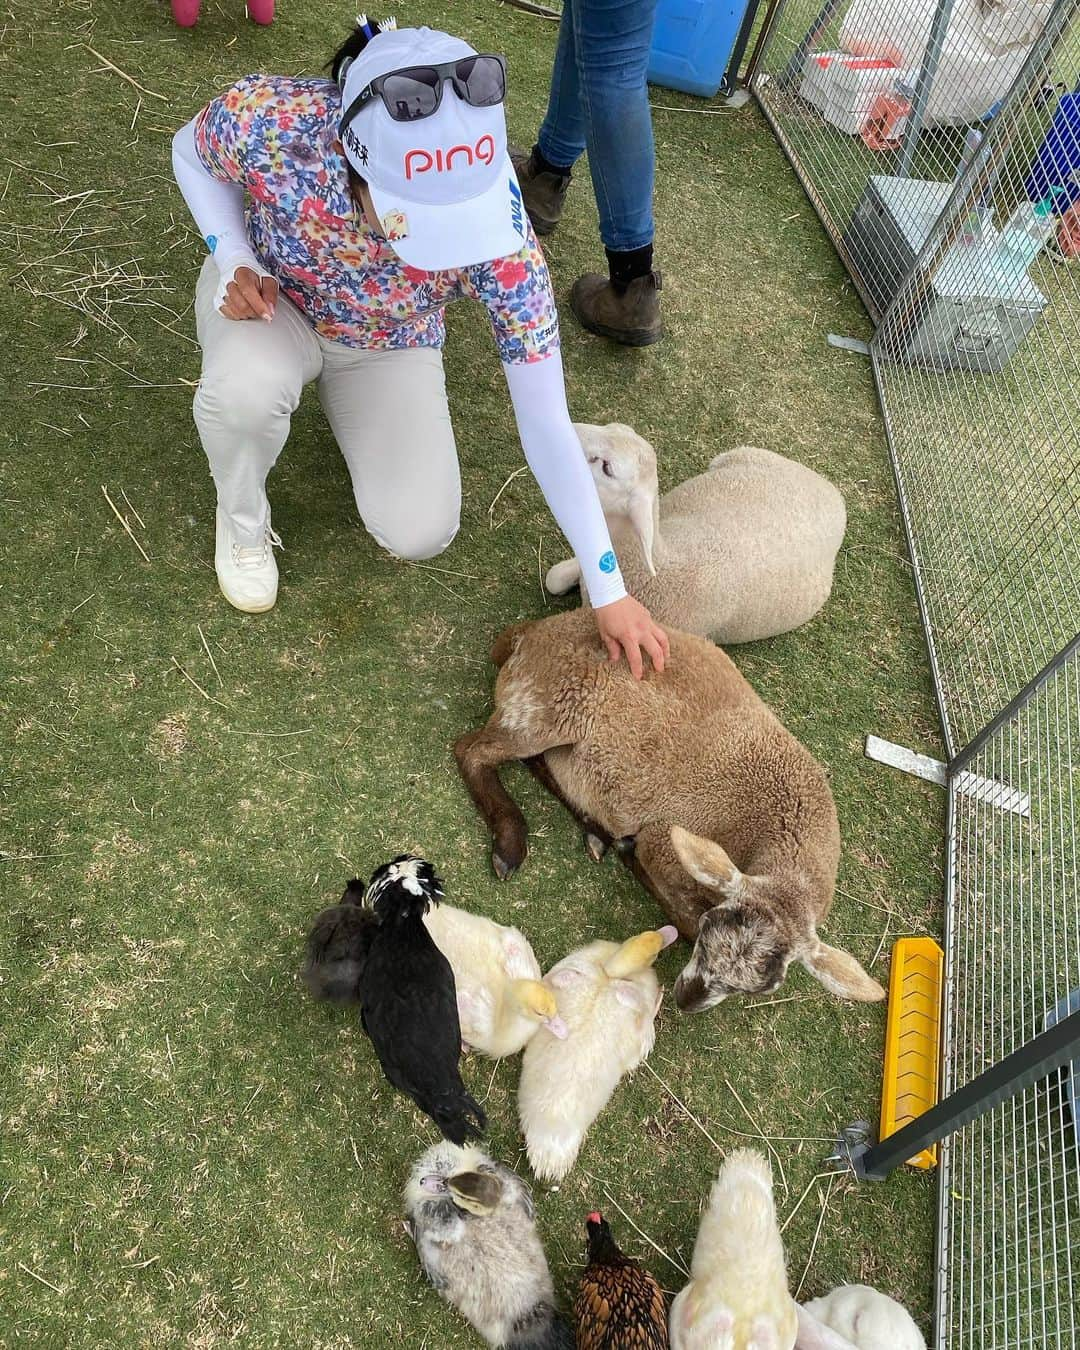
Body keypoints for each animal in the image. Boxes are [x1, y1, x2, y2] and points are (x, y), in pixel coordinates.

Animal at [456, 612, 885, 1015]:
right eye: (711, 929)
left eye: (763, 989)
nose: (685, 998)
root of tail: (529, 631)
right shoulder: (664, 843)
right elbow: (685, 918)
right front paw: (631, 857)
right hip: (546, 706)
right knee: (471, 750)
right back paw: (510, 844)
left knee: (533, 761)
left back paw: (594, 830)